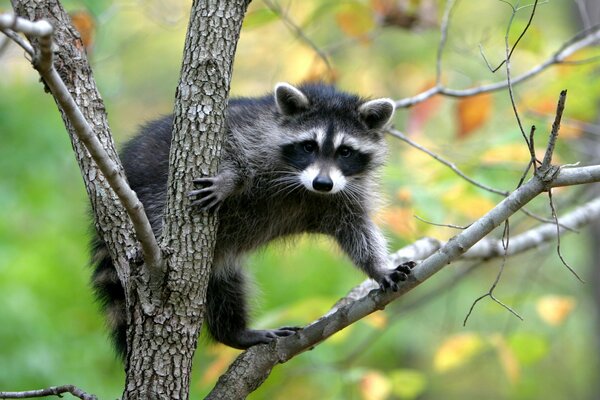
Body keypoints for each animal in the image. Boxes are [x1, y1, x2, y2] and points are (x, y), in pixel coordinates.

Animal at [91, 81, 412, 356]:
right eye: (309, 146)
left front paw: (379, 267)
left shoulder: (344, 194)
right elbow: (230, 146)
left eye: (345, 151)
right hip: (153, 198)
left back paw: (233, 332)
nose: (323, 183)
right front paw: (229, 179)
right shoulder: (252, 132)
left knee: (225, 285)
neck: (304, 187)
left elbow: (357, 230)